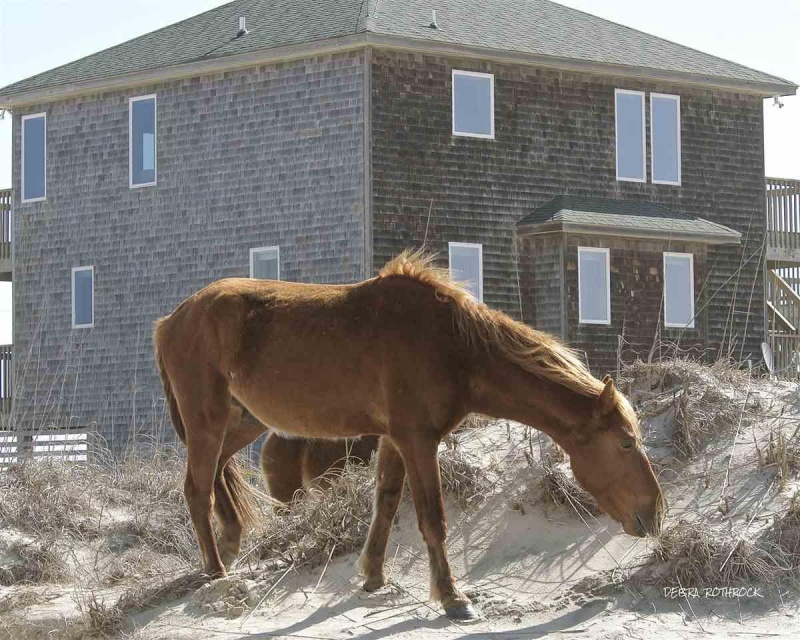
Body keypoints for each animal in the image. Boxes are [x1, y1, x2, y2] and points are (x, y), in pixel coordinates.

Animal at [153, 250, 664, 620]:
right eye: (625, 443)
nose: (654, 514)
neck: (453, 346)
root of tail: (171, 320)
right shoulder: (418, 439)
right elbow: (432, 517)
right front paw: (453, 598)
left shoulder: (394, 440)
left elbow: (385, 503)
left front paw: (373, 576)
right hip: (208, 421)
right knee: (196, 489)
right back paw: (215, 569)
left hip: (241, 422)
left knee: (217, 473)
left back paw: (229, 545)